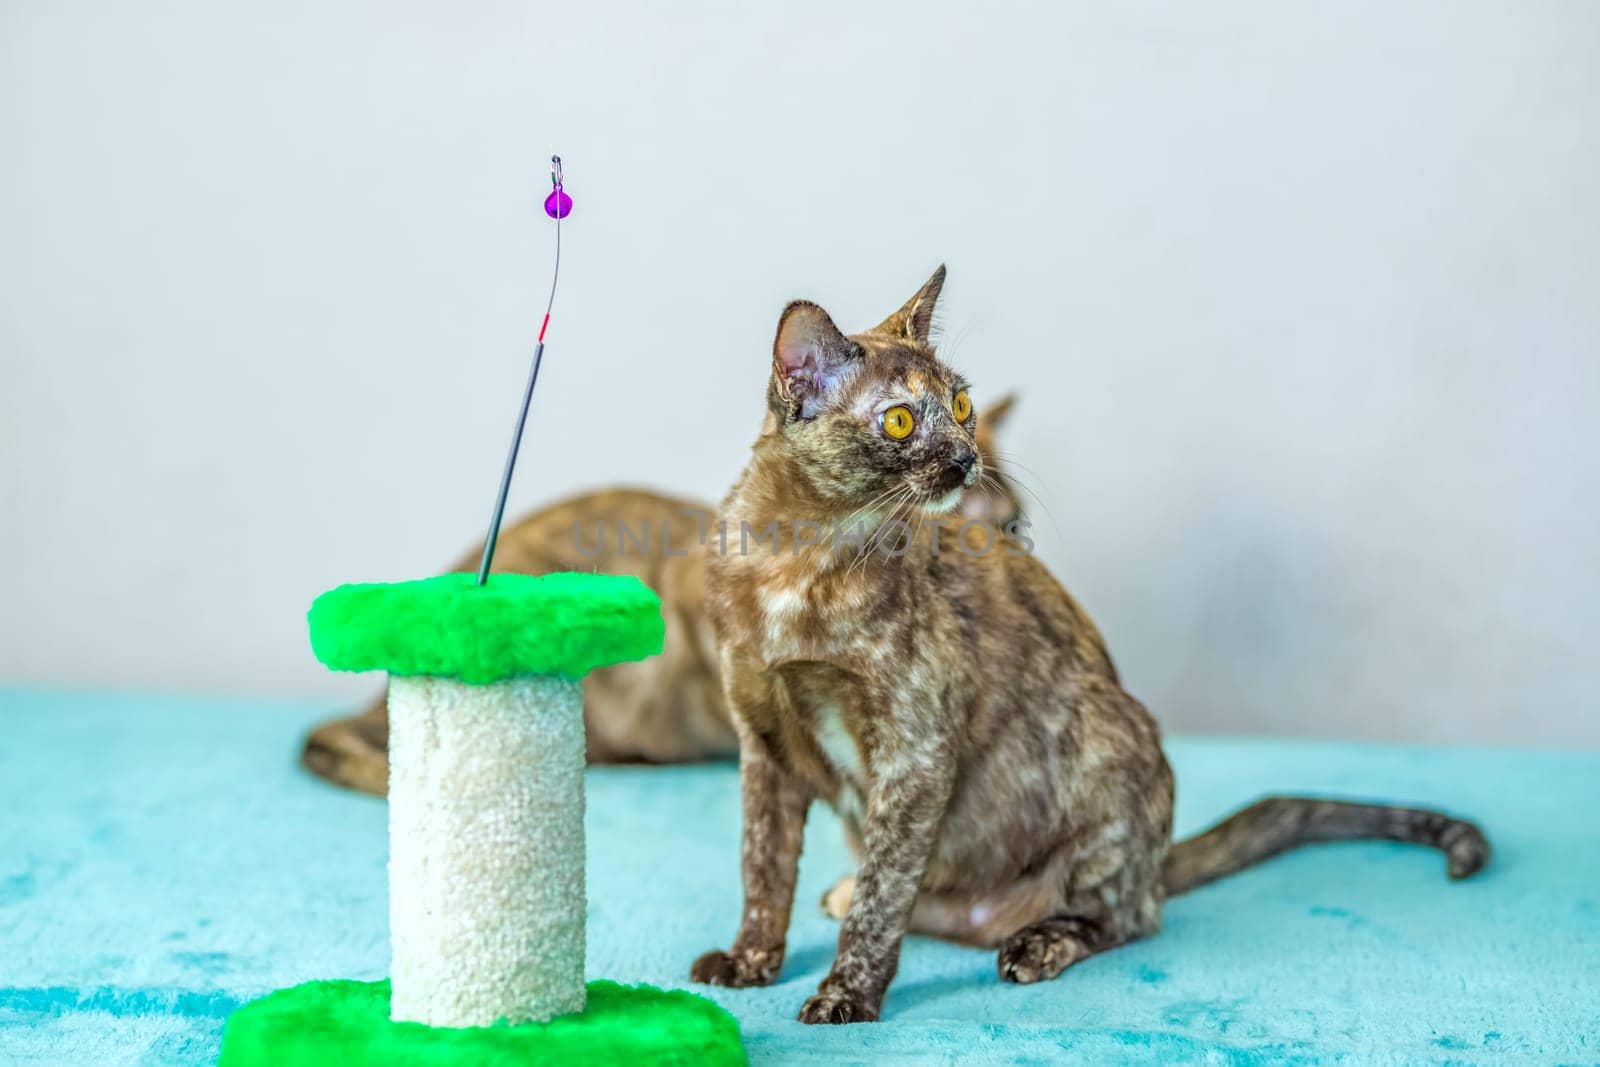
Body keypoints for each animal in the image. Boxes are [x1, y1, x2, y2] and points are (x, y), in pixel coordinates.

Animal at [688, 267, 1484, 1023]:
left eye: (962, 405)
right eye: (900, 419)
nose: (965, 458)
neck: (800, 565)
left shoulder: (914, 753)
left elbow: (881, 900)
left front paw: (845, 995)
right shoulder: (763, 744)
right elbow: (763, 868)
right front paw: (750, 961)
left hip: (1107, 738)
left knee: (1127, 914)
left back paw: (1039, 941)